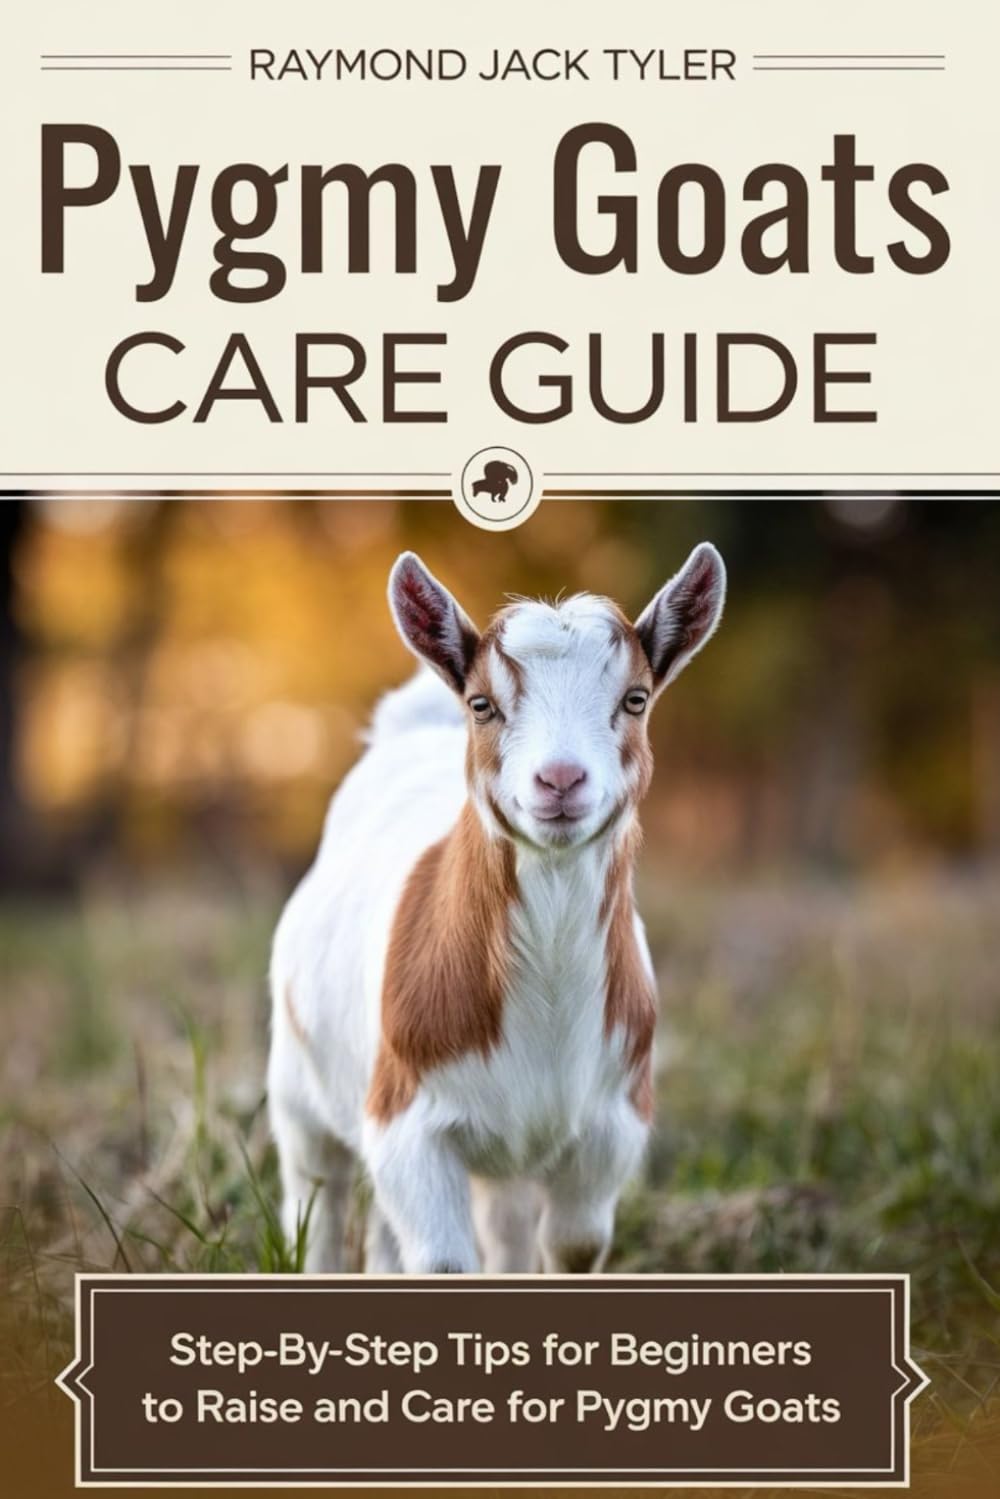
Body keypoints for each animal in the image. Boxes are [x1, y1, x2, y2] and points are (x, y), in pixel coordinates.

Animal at [268, 544, 726, 1274]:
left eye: (635, 699)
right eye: (484, 704)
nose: (560, 779)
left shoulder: (612, 1122)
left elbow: (573, 1244)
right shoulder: (407, 1121)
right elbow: (443, 1262)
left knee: (490, 1228)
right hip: (296, 1085)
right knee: (318, 1199)